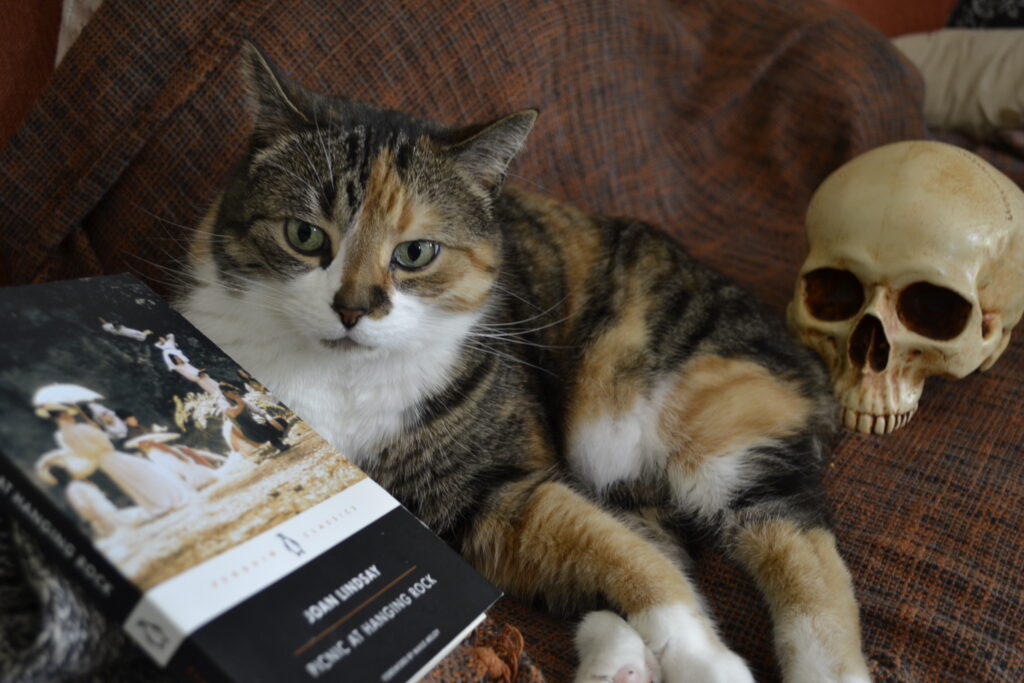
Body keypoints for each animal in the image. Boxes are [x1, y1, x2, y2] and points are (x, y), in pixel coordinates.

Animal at [178, 44, 872, 683]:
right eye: (304, 235)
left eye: (416, 253)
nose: (352, 308)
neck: (344, 381)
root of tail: (798, 347)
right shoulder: (486, 519)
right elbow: (620, 554)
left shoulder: (504, 482)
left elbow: (634, 563)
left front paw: (707, 664)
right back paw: (616, 662)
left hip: (707, 423)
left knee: (797, 542)